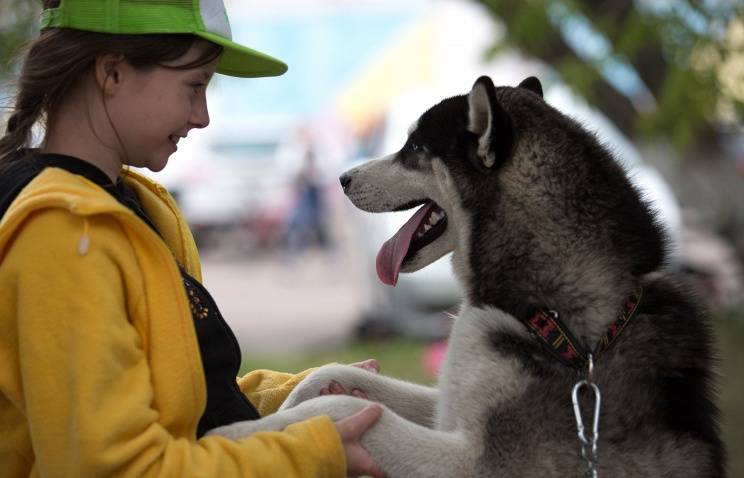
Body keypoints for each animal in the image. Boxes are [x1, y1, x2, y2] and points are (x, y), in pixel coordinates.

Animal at [208, 76, 720, 476]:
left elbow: (343, 407)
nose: (343, 179)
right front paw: (285, 407)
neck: (551, 320)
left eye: (414, 148)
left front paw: (239, 433)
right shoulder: (448, 411)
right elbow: (332, 377)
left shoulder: (476, 461)